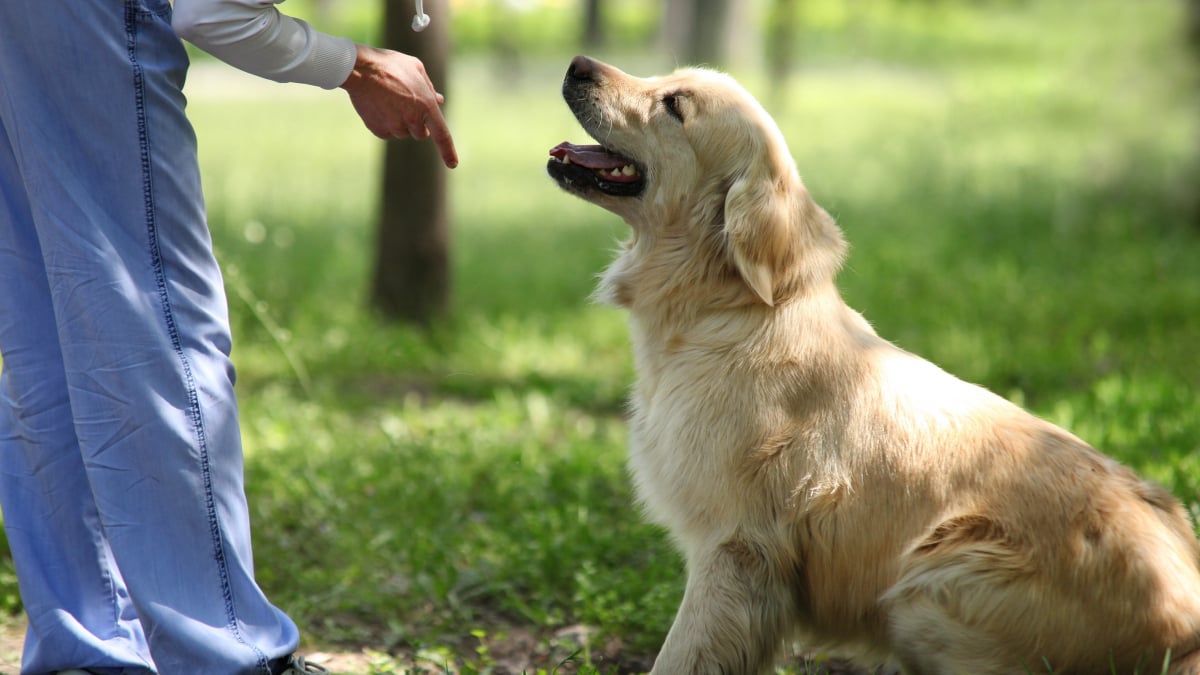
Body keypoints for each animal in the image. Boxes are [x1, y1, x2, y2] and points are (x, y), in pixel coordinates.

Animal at [549, 56, 1200, 672]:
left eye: (675, 105)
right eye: (666, 78)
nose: (577, 64)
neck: (727, 308)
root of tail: (1185, 632)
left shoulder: (734, 549)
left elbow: (680, 655)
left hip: (930, 585)